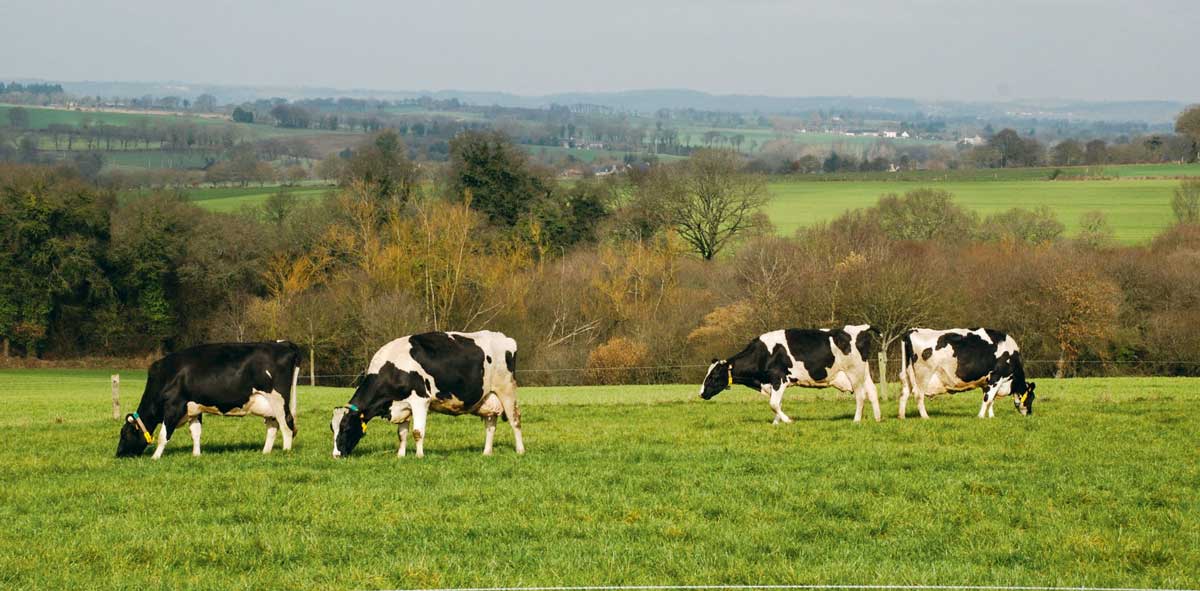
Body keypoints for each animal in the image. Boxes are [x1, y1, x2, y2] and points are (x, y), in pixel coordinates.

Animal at [116, 338, 302, 458]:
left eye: (124, 434)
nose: (118, 454)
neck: (167, 375)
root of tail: (283, 344)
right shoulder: (193, 407)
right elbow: (195, 432)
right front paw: (196, 455)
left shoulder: (173, 406)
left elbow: (164, 435)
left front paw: (155, 457)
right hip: (268, 405)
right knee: (273, 427)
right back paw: (265, 453)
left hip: (278, 399)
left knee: (286, 426)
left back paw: (285, 452)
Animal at [331, 329, 523, 458]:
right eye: (332, 428)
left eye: (346, 428)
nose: (336, 455)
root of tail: (505, 338)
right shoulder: (402, 405)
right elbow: (402, 433)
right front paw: (400, 455)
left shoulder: (420, 400)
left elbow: (417, 432)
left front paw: (419, 456)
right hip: (488, 397)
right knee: (490, 425)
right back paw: (487, 452)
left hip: (506, 389)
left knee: (514, 420)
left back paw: (520, 450)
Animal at [696, 324, 883, 425]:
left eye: (713, 376)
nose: (701, 394)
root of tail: (861, 327)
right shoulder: (773, 383)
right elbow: (777, 403)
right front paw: (776, 423)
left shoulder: (778, 378)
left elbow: (773, 404)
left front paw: (787, 421)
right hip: (864, 372)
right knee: (872, 392)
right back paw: (877, 418)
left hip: (854, 371)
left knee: (860, 395)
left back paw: (856, 420)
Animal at [902, 326, 1032, 420]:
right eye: (1032, 397)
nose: (1030, 413)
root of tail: (912, 330)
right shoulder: (996, 378)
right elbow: (988, 399)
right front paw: (980, 417)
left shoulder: (987, 382)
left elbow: (991, 400)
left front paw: (991, 417)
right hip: (923, 375)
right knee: (918, 395)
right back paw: (925, 417)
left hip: (907, 375)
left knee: (904, 393)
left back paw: (902, 416)